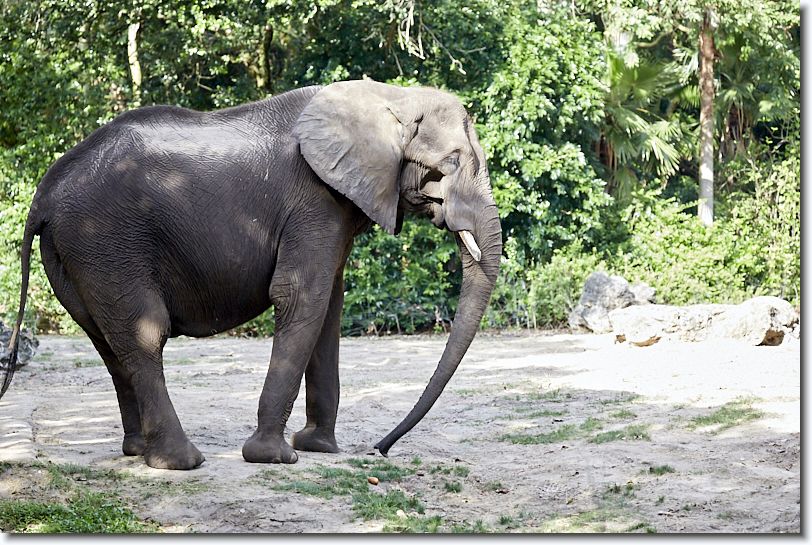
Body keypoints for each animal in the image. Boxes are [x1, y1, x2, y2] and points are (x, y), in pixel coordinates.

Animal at [2, 79, 501, 470]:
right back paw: (181, 462)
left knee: (108, 342)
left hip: (75, 255)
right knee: (143, 332)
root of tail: (44, 194)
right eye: (450, 163)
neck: (391, 97)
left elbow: (329, 306)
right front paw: (276, 457)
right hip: (106, 242)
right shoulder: (314, 200)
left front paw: (319, 448)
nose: (379, 449)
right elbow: (302, 296)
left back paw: (138, 452)